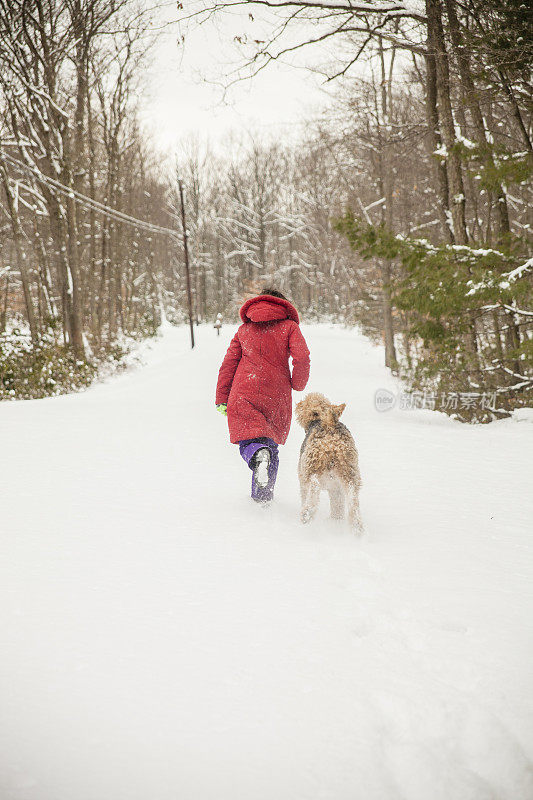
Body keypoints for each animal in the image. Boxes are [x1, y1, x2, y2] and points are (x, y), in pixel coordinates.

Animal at [294, 392, 364, 532]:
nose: (298, 404)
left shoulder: (303, 480)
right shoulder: (336, 490)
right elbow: (338, 507)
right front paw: (336, 522)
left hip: (311, 469)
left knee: (313, 489)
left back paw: (306, 514)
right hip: (351, 477)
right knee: (353, 504)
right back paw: (358, 529)